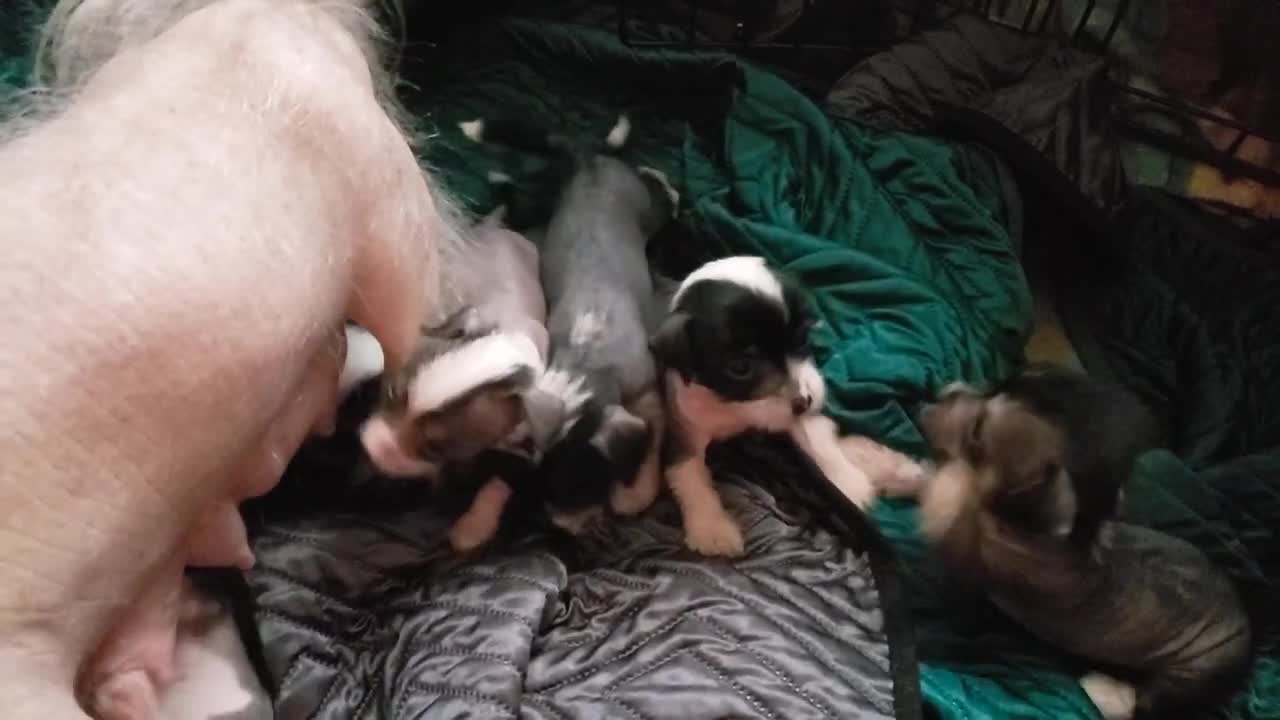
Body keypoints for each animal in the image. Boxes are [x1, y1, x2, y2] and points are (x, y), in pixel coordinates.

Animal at [468, 110, 686, 527]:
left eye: (581, 482)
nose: (556, 527)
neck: (587, 358)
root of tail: (586, 162)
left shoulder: (646, 391)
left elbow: (651, 441)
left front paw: (634, 492)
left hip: (641, 212)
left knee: (661, 201)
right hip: (542, 202)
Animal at [916, 363, 1254, 717]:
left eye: (978, 431)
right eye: (993, 387)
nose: (937, 398)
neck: (1080, 535)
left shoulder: (1005, 565)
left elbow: (962, 532)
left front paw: (945, 489)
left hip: (1194, 672)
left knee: (1148, 702)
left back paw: (1104, 691)